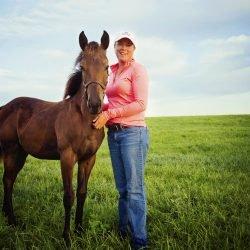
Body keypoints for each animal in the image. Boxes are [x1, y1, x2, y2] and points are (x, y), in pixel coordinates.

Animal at [0, 30, 109, 243]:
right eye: (82, 68)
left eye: (107, 66)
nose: (94, 104)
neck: (84, 119)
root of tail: (4, 107)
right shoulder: (67, 157)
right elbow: (69, 196)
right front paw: (67, 237)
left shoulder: (88, 159)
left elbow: (82, 193)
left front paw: (79, 231)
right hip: (11, 152)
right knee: (8, 181)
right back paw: (12, 221)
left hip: (20, 154)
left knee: (9, 180)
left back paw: (8, 217)